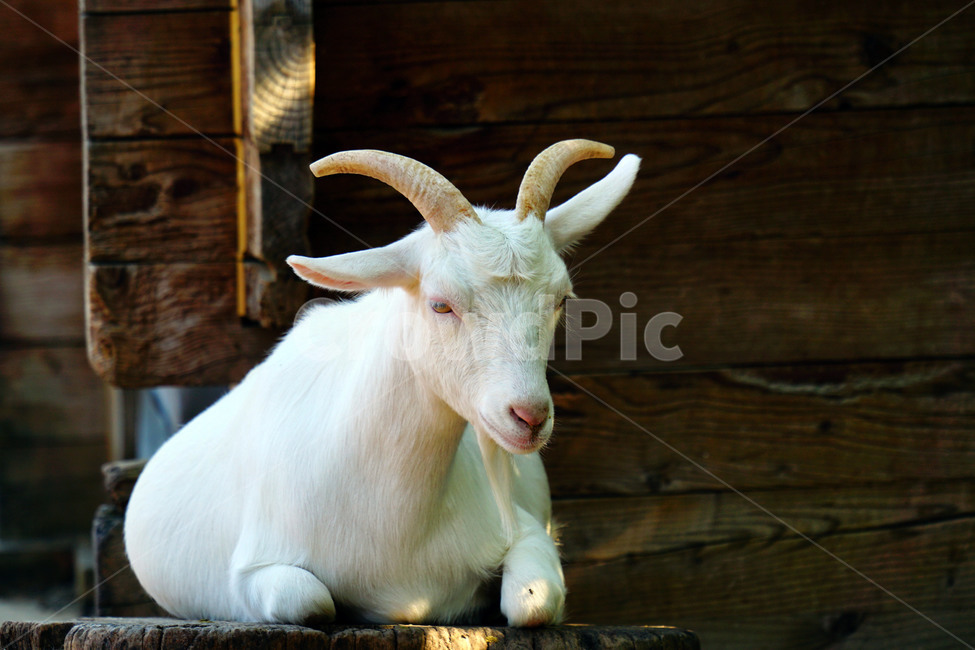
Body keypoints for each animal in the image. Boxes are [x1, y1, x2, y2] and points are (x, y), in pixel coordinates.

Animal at [124, 139, 640, 626]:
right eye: (440, 303)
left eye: (561, 299)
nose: (529, 416)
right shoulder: (250, 570)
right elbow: (309, 601)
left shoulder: (528, 531)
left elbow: (532, 603)